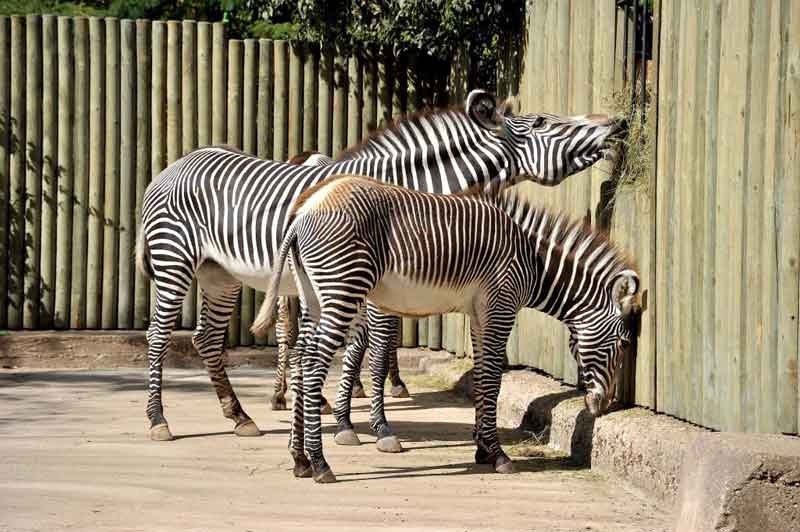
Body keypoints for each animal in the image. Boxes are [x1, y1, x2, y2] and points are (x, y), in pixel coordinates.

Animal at [134, 89, 628, 442]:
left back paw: (239, 416)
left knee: (206, 339)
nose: (618, 123)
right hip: (175, 261)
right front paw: (371, 426)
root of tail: (174, 164)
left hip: (219, 275)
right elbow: (370, 349)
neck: (411, 187)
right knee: (158, 337)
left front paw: (345, 418)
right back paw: (159, 422)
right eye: (544, 122)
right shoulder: (372, 282)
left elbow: (362, 348)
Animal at [256, 177, 644, 484]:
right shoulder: (501, 307)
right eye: (624, 343)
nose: (602, 406)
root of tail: (304, 210)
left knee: (300, 358)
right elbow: (492, 378)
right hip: (343, 288)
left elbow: (484, 376)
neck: (533, 261)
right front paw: (497, 454)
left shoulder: (480, 313)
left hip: (313, 294)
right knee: (313, 365)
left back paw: (300, 459)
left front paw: (483, 449)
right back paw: (321, 464)